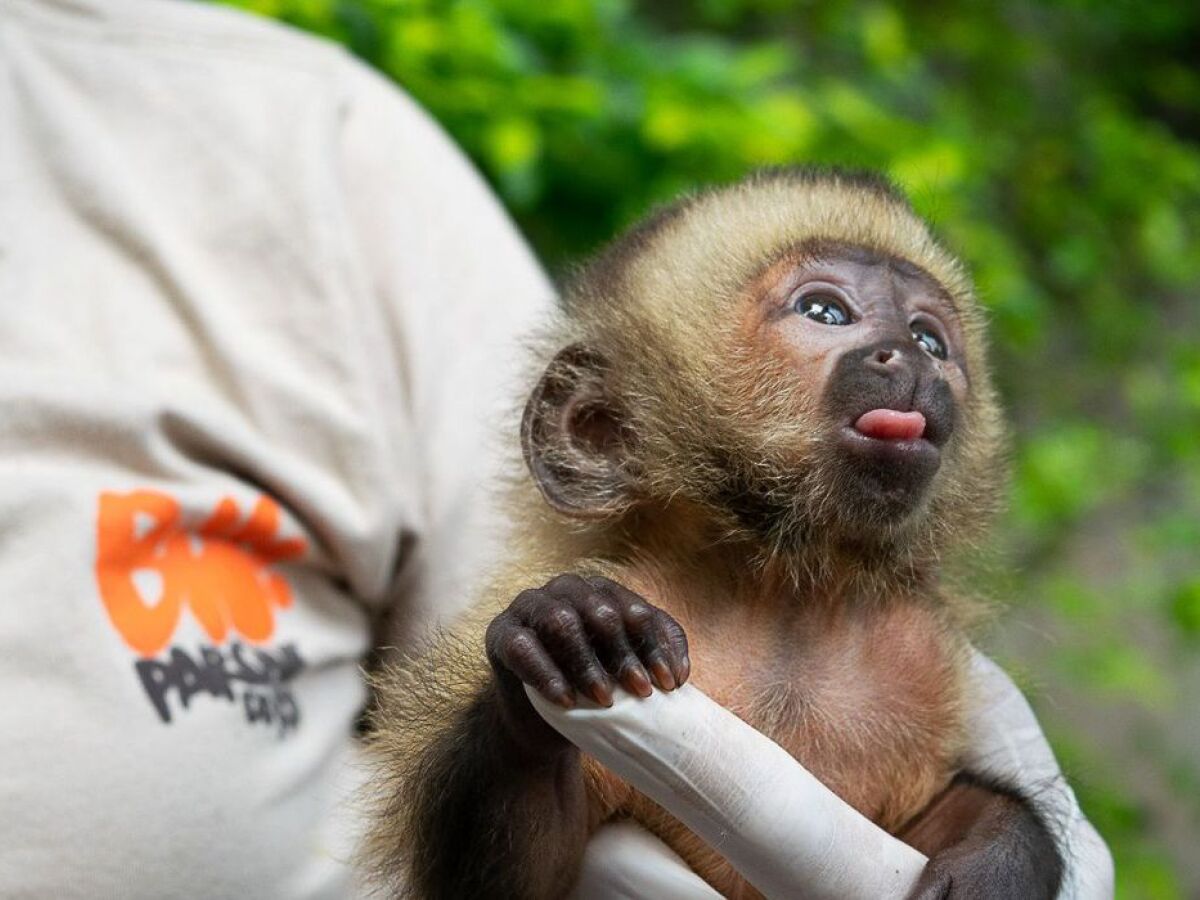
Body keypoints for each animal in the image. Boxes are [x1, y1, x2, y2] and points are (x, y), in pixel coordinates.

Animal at [362, 169, 1060, 900]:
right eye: (824, 312)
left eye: (931, 340)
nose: (912, 360)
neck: (780, 593)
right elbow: (518, 882)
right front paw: (571, 632)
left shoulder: (921, 658)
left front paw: (999, 856)